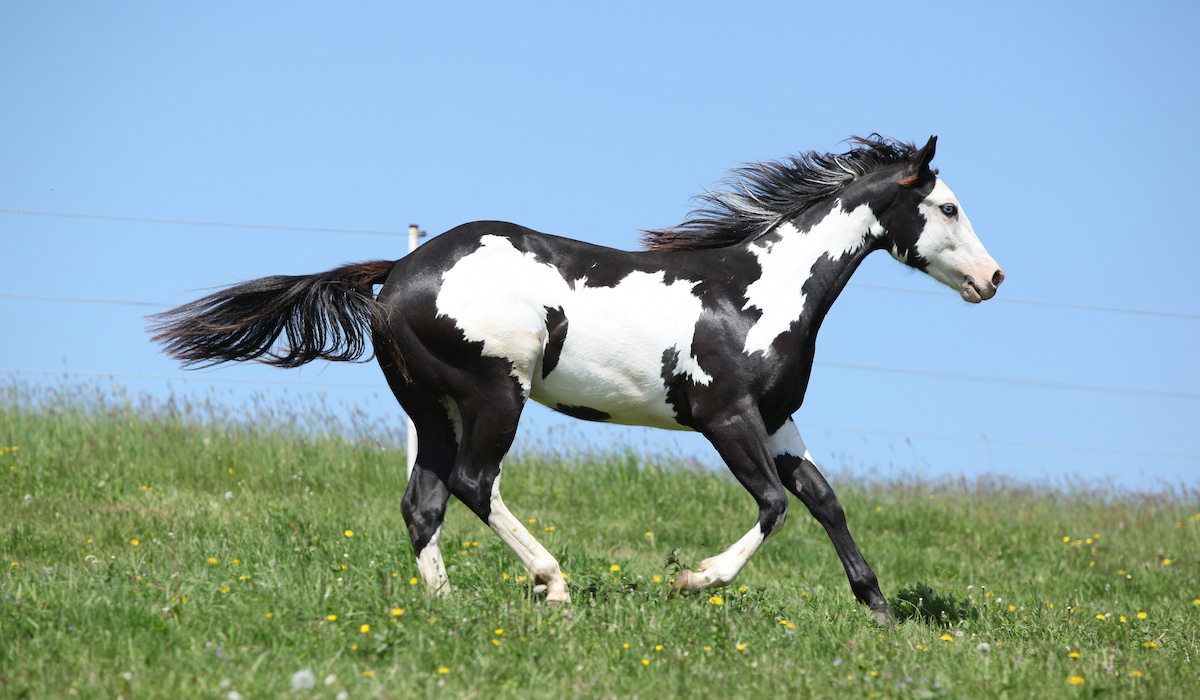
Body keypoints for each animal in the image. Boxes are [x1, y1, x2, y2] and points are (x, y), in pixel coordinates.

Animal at [150, 135, 1003, 626]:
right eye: (947, 207)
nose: (993, 278)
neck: (755, 294)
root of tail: (399, 273)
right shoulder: (725, 416)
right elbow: (772, 505)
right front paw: (692, 581)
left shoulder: (778, 417)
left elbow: (823, 499)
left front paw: (878, 607)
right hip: (493, 394)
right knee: (474, 483)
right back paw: (550, 584)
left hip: (431, 407)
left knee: (424, 501)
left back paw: (446, 606)